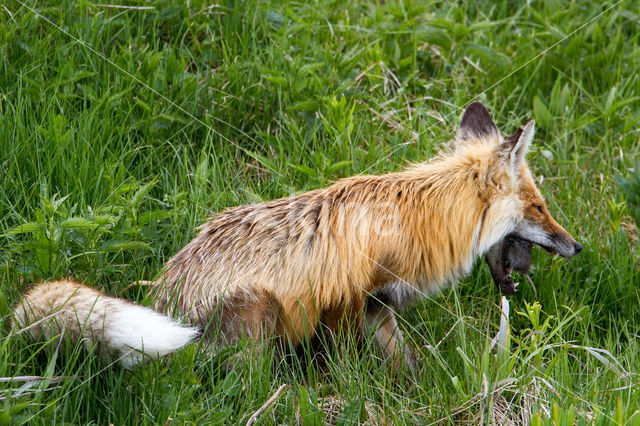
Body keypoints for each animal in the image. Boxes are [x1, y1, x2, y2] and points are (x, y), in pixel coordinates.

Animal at [11, 102, 580, 370]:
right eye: (540, 207)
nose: (577, 246)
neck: (420, 216)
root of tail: (163, 298)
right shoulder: (353, 301)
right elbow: (367, 363)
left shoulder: (378, 307)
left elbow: (406, 362)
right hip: (257, 313)